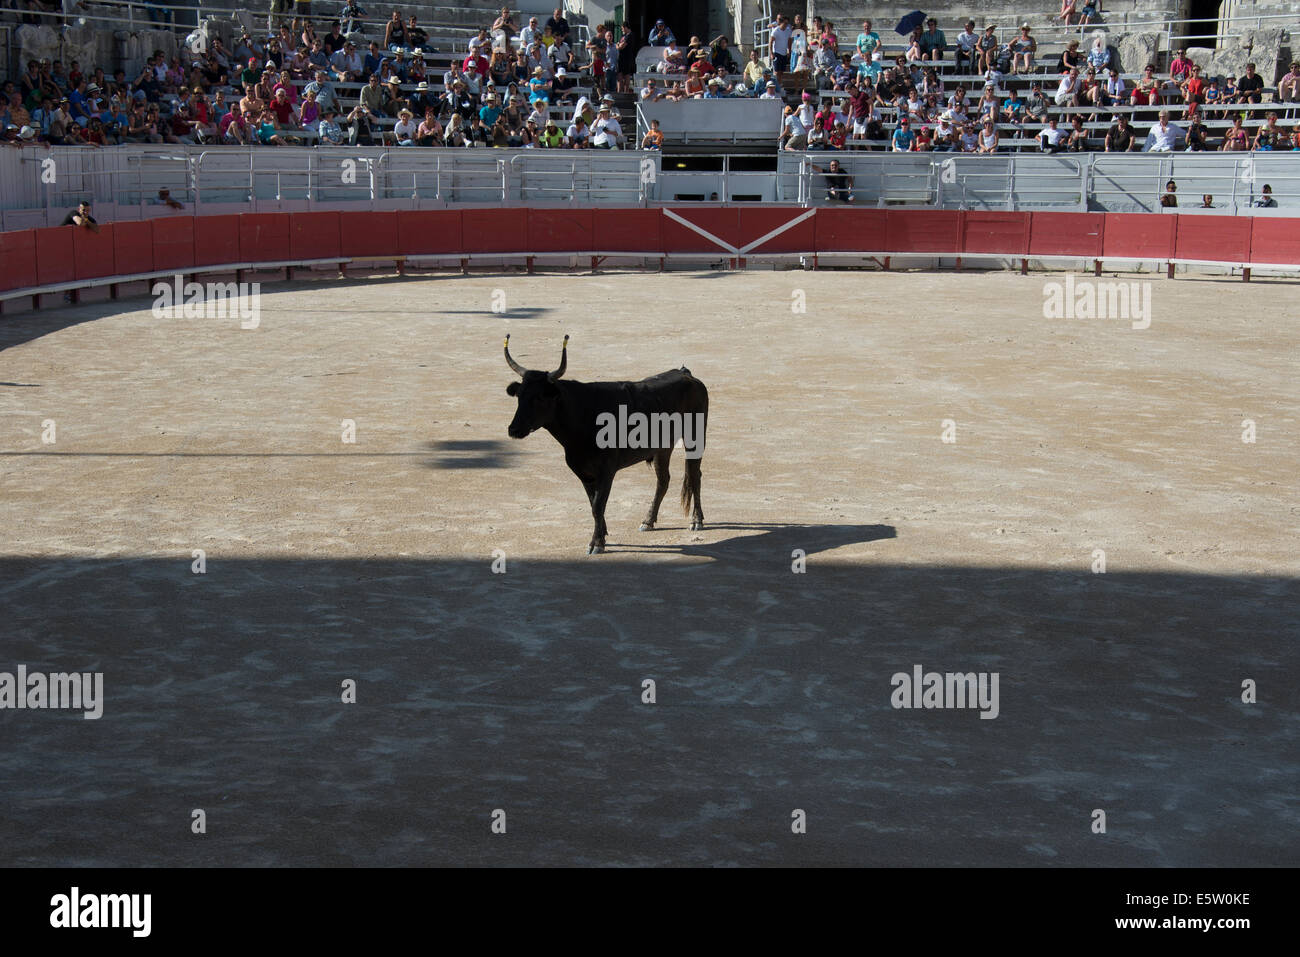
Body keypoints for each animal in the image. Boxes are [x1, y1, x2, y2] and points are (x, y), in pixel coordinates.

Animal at [504, 335, 708, 554]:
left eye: (540, 397)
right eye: (519, 396)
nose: (513, 429)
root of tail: (686, 374)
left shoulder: (607, 471)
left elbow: (598, 505)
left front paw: (596, 543)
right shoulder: (583, 472)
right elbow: (593, 504)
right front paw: (602, 535)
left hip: (695, 438)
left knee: (694, 475)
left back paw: (696, 520)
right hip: (663, 447)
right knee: (663, 480)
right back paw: (648, 521)